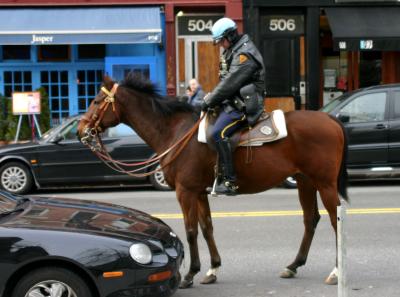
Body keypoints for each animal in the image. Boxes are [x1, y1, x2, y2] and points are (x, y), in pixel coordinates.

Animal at [77, 73, 346, 286]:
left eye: (96, 101)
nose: (80, 130)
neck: (175, 133)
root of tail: (329, 118)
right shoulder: (198, 191)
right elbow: (206, 227)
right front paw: (212, 268)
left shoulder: (185, 191)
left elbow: (191, 230)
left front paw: (189, 274)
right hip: (305, 181)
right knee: (311, 219)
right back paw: (293, 265)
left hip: (325, 183)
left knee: (335, 220)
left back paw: (336, 271)